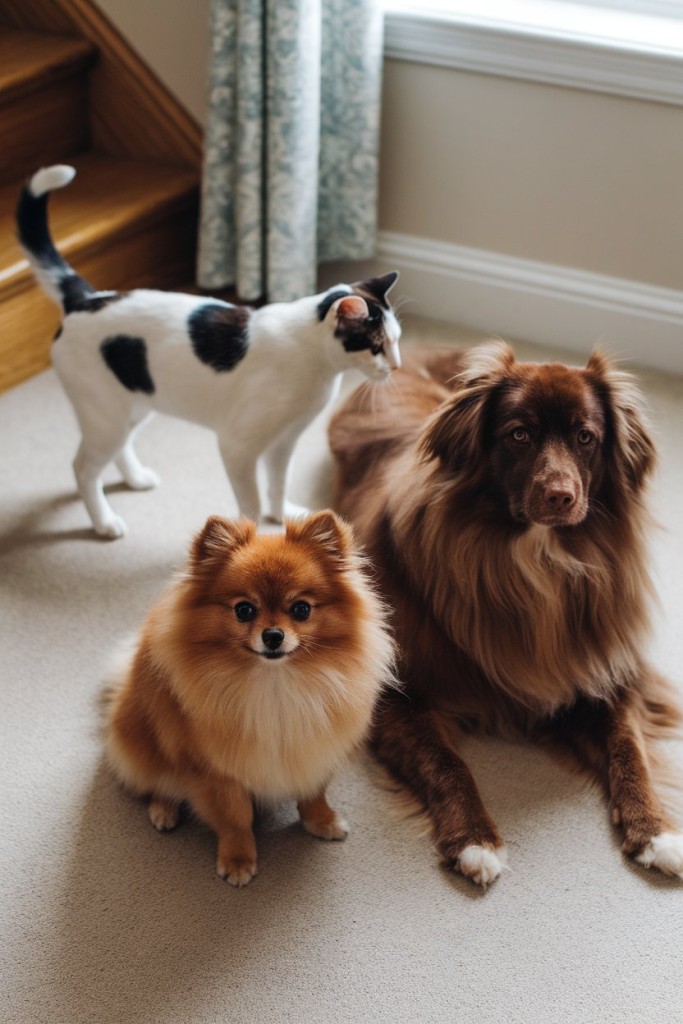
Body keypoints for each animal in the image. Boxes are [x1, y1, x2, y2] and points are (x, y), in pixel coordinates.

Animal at [15, 165, 401, 536]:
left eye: (397, 339)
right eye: (376, 346)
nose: (396, 366)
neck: (317, 366)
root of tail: (87, 298)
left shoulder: (284, 442)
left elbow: (277, 484)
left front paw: (283, 516)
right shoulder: (237, 446)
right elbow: (252, 503)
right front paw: (250, 541)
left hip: (132, 407)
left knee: (118, 448)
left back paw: (136, 479)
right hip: (106, 416)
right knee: (82, 468)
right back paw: (104, 522)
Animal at [105, 512, 395, 888]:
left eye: (301, 609)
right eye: (244, 610)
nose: (273, 636)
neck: (275, 683)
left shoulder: (316, 746)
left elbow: (314, 791)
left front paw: (322, 821)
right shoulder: (217, 771)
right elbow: (235, 818)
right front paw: (239, 858)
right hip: (146, 737)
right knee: (157, 778)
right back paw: (163, 808)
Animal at [327, 339, 679, 884]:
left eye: (585, 437)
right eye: (519, 434)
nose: (560, 496)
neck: (534, 557)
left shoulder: (602, 669)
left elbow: (630, 749)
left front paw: (656, 830)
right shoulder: (396, 695)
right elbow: (446, 762)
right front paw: (475, 839)